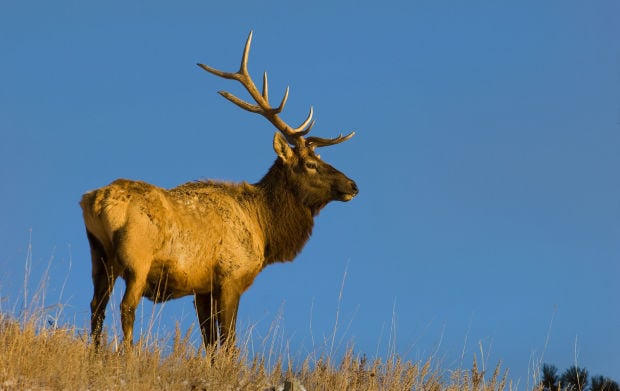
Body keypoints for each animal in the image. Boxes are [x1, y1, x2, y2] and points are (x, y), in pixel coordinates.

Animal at [79, 31, 358, 350]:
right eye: (311, 164)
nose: (353, 185)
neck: (263, 229)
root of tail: (95, 202)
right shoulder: (230, 277)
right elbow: (228, 342)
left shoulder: (202, 288)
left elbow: (210, 344)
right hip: (136, 258)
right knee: (126, 307)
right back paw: (128, 354)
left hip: (99, 257)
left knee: (96, 307)